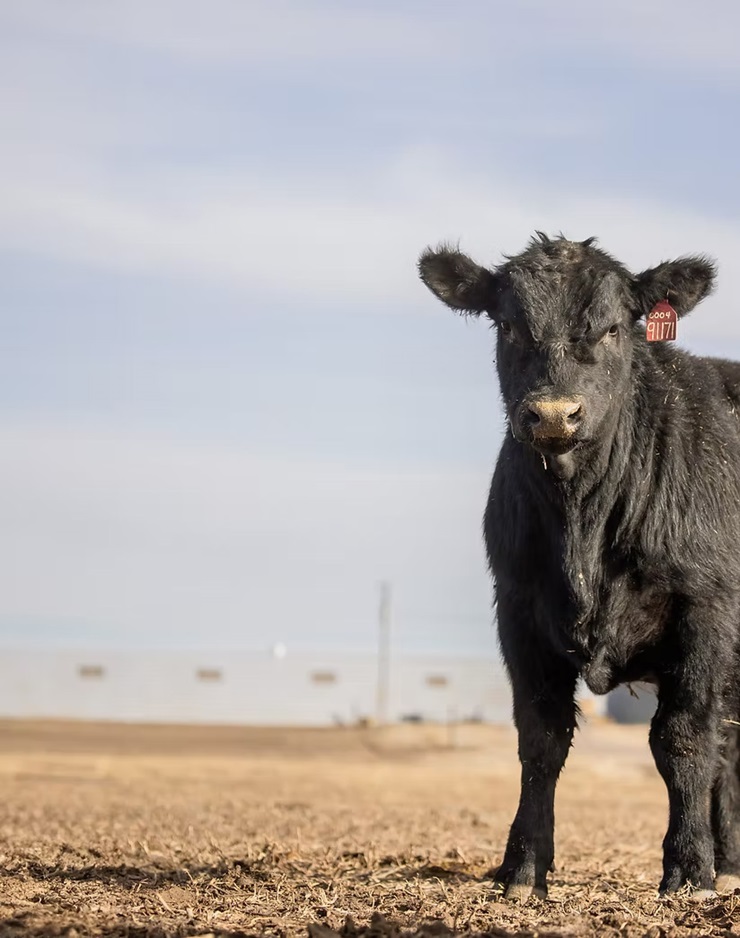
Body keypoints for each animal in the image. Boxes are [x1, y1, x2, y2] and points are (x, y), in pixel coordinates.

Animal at [418, 233, 740, 901]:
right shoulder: (518, 609)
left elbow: (683, 735)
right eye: (509, 325)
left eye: (616, 327)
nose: (552, 414)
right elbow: (541, 739)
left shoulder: (707, 609)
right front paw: (522, 869)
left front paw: (688, 870)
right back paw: (730, 865)